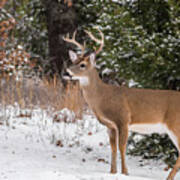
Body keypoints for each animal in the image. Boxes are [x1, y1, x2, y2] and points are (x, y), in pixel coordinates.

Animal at [63, 27, 180, 179]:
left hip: (175, 124)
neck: (103, 97)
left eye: (82, 65)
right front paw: (112, 172)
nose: (67, 73)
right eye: (73, 62)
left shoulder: (123, 119)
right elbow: (113, 148)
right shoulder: (110, 125)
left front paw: (125, 172)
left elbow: (122, 147)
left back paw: (169, 177)